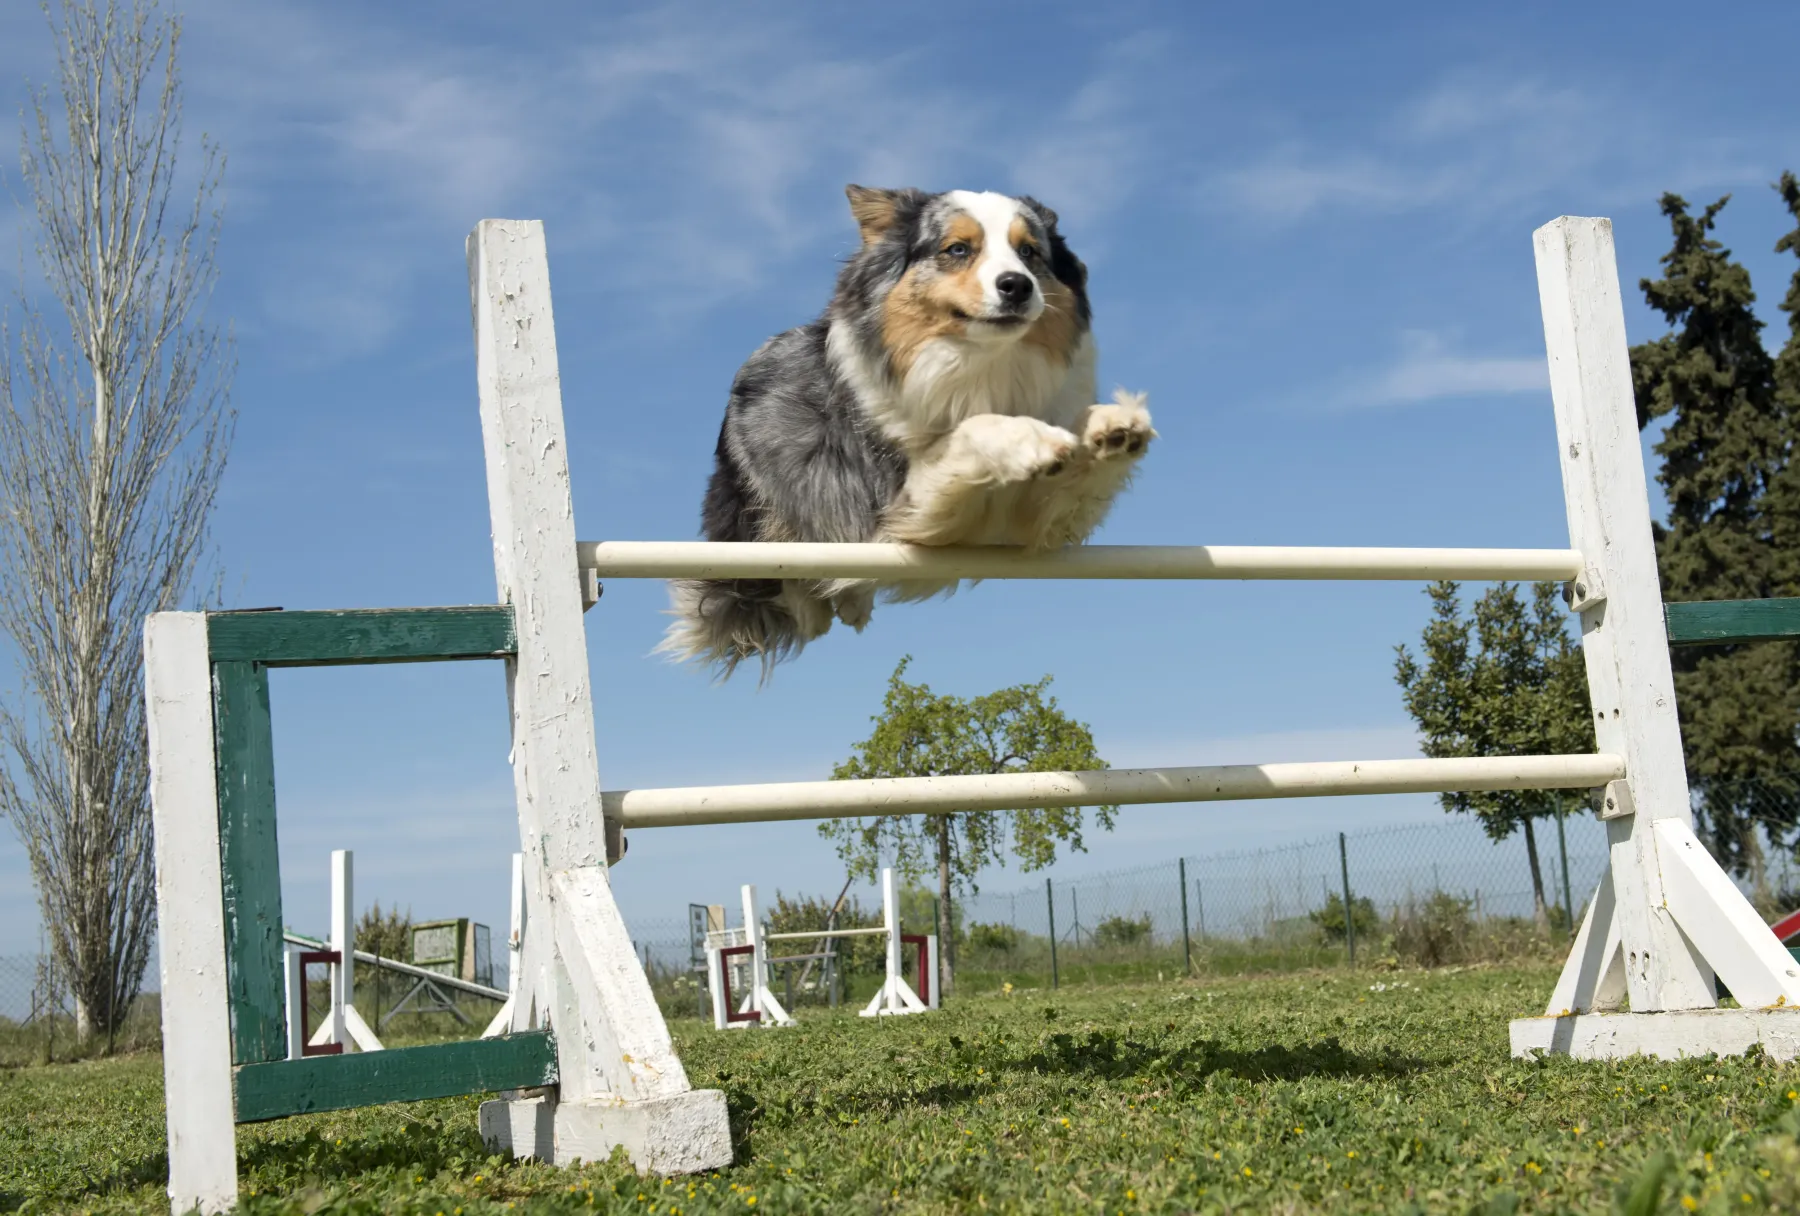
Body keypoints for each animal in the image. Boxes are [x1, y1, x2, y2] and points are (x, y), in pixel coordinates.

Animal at [662, 181, 1152, 679]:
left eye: (1029, 251)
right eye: (958, 249)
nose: (1017, 285)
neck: (980, 365)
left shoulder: (1028, 523)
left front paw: (1110, 425)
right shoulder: (901, 499)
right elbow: (973, 429)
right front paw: (1032, 437)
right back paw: (820, 604)